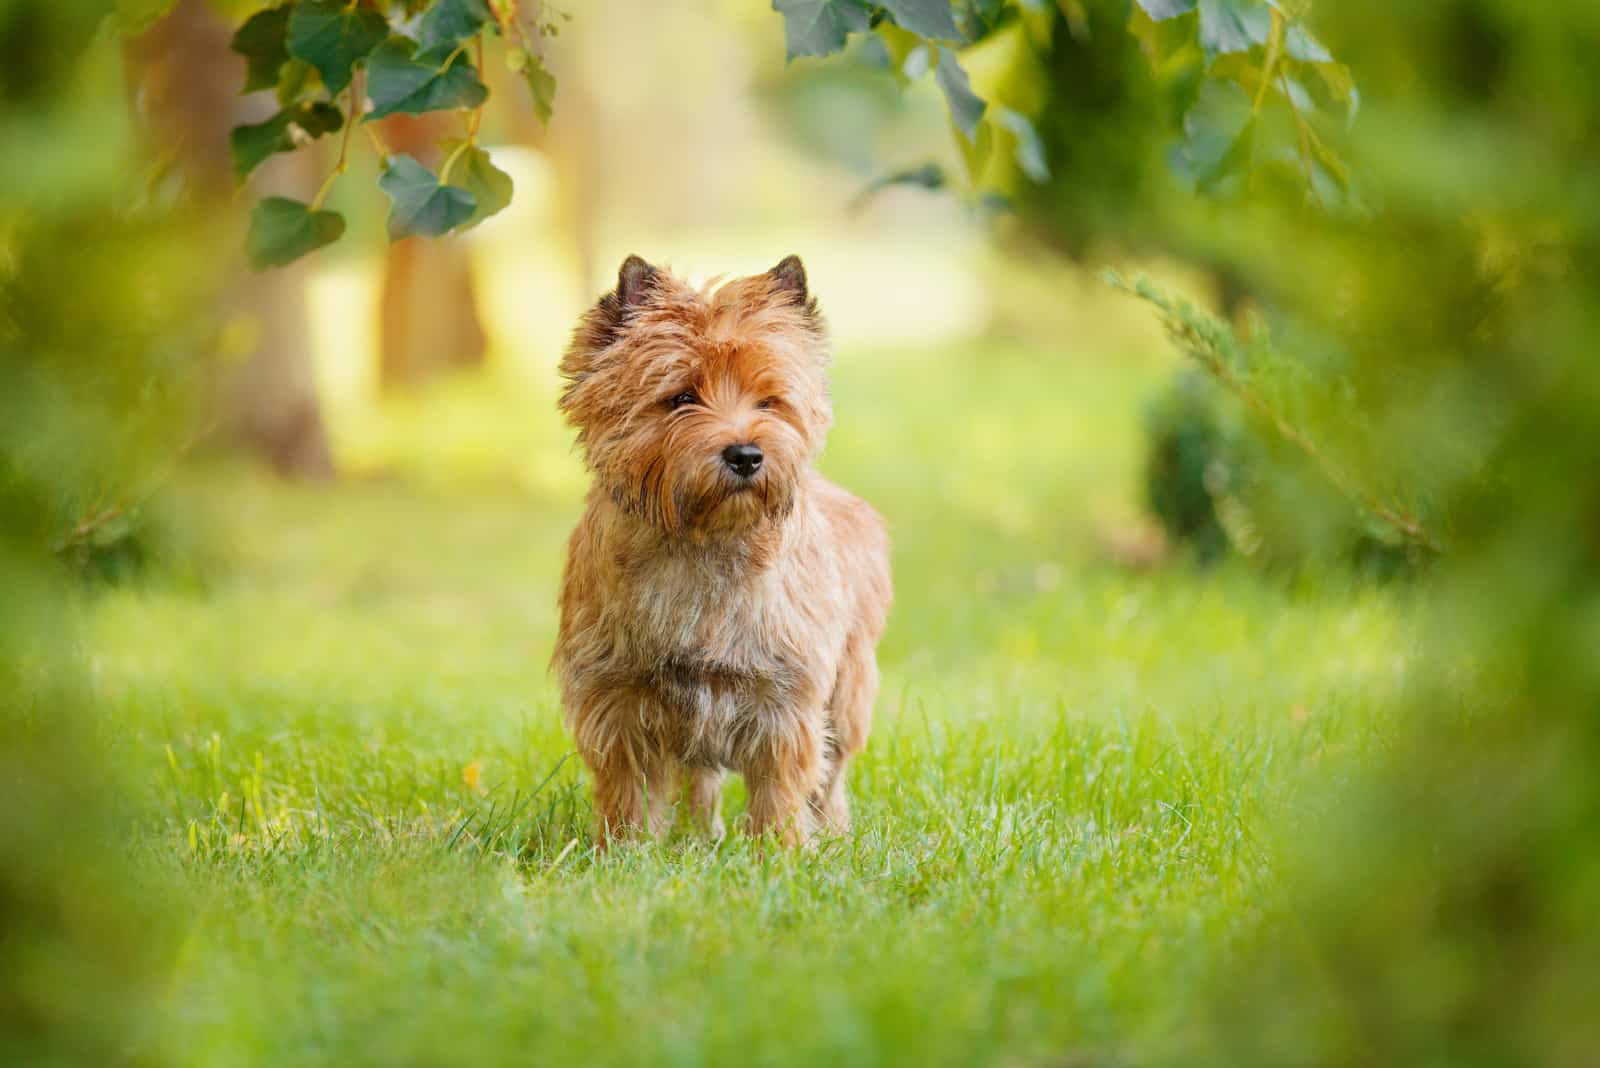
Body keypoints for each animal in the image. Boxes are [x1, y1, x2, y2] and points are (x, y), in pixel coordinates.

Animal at [556, 254, 896, 844]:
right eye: (681, 398)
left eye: (769, 400)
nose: (746, 455)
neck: (703, 543)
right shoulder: (617, 698)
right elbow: (627, 789)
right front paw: (621, 850)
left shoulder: (784, 698)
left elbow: (781, 788)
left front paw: (779, 853)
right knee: (704, 778)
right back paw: (702, 836)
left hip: (849, 690)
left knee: (833, 775)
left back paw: (832, 836)